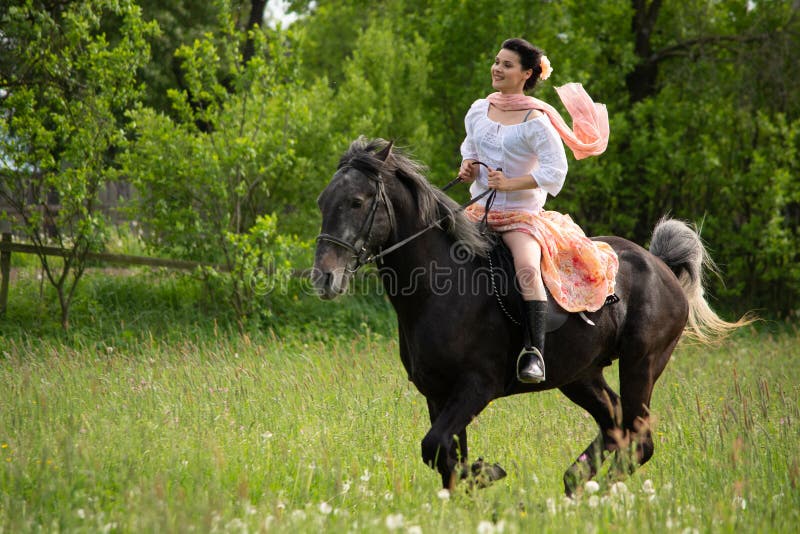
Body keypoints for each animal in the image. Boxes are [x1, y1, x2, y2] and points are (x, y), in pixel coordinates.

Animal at [310, 137, 744, 494]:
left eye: (357, 202)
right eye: (322, 201)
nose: (324, 278)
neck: (442, 287)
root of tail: (662, 267)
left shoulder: (477, 385)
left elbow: (435, 447)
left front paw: (489, 472)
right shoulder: (438, 393)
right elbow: (446, 457)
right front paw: (474, 484)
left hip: (642, 364)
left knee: (639, 439)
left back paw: (591, 491)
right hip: (581, 375)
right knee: (616, 426)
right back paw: (575, 482)